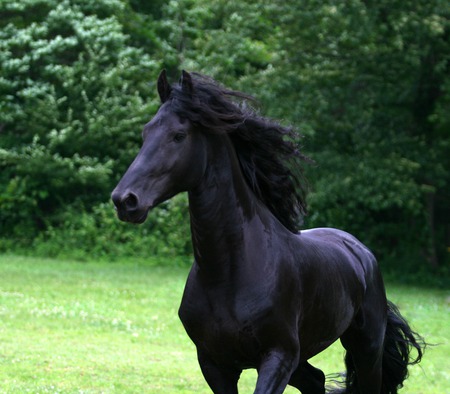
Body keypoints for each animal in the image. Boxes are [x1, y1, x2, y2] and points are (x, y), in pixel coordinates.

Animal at [110, 71, 424, 394]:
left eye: (178, 135)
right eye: (146, 132)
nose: (125, 200)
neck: (230, 273)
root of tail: (360, 252)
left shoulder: (278, 357)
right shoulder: (214, 365)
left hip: (365, 348)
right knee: (316, 380)